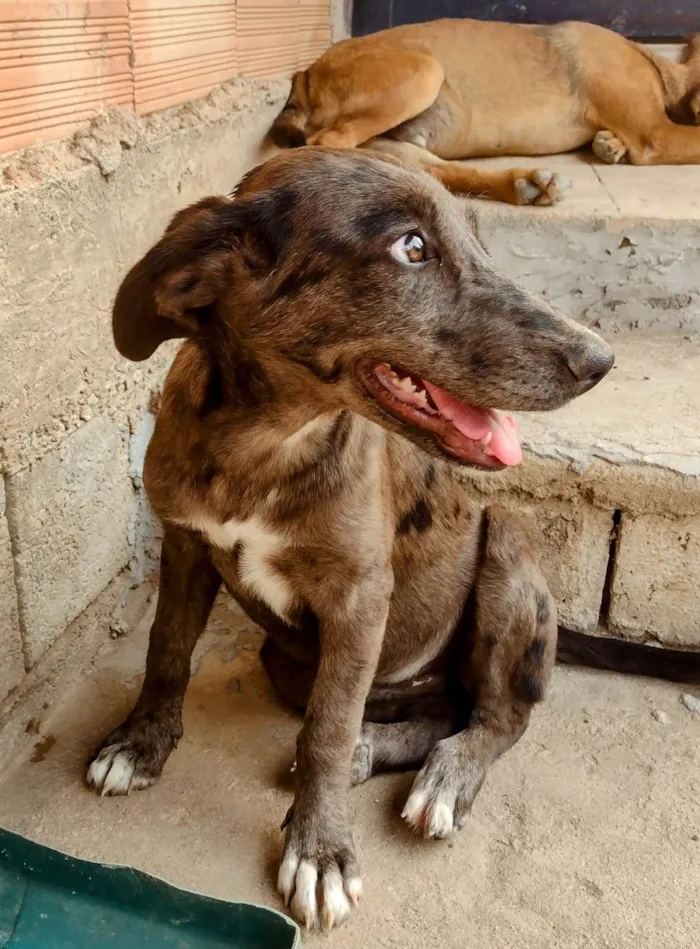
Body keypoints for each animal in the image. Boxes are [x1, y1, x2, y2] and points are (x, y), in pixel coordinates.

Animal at [86, 152, 700, 928]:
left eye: (479, 242)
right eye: (411, 248)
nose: (600, 361)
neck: (266, 444)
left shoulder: (358, 598)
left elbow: (326, 728)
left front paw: (319, 850)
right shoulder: (186, 546)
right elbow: (166, 652)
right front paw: (138, 744)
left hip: (507, 551)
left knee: (498, 716)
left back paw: (447, 776)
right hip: (290, 661)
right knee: (426, 713)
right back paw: (376, 749)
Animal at [270, 20, 700, 206]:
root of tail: (306, 74)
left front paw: (610, 146)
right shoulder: (655, 134)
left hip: (395, 142)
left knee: (434, 172)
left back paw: (526, 184)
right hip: (424, 72)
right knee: (328, 143)